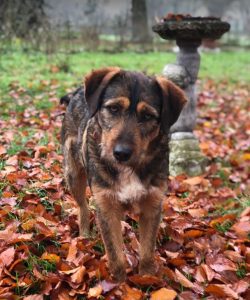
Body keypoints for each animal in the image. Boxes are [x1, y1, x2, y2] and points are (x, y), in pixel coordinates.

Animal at [60, 67, 186, 282]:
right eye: (114, 109)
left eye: (147, 116)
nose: (121, 153)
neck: (129, 169)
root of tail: (77, 92)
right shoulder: (106, 208)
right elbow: (115, 256)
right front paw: (119, 284)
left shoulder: (152, 206)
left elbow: (147, 252)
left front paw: (147, 279)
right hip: (74, 175)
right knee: (83, 206)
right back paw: (84, 234)